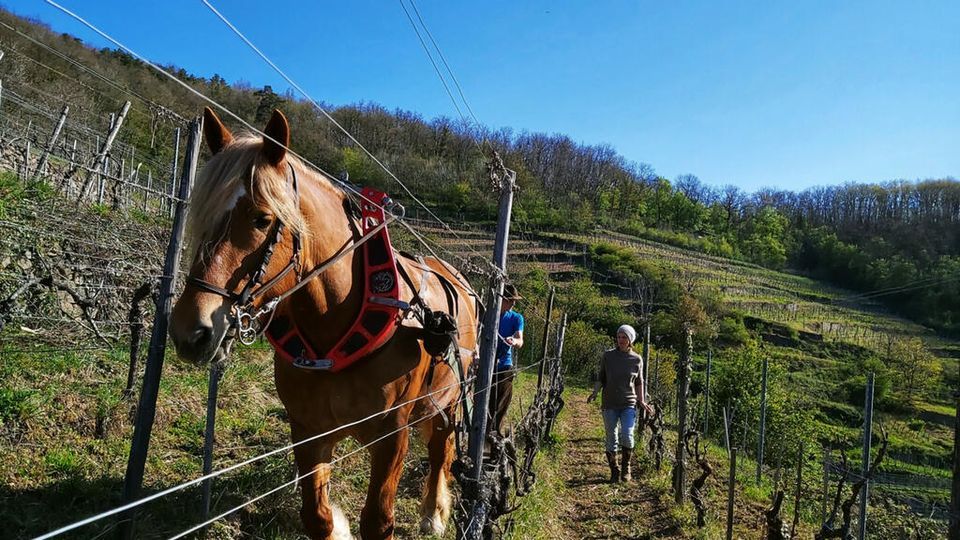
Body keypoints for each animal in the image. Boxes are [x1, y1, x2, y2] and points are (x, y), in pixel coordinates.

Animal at [169, 107, 480, 536]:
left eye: (262, 219)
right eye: (203, 214)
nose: (191, 331)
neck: (338, 325)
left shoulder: (391, 436)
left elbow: (378, 521)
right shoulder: (308, 429)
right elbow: (316, 516)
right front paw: (335, 524)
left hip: (452, 399)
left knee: (440, 449)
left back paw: (433, 512)